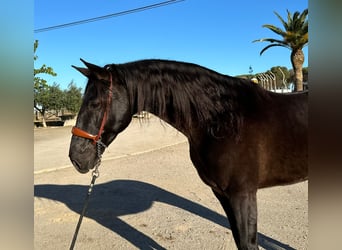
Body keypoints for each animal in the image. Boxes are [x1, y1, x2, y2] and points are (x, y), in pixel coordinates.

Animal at [69, 57, 308, 249]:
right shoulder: (223, 194)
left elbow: (248, 243)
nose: (76, 158)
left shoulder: (243, 194)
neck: (223, 120)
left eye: (95, 103)